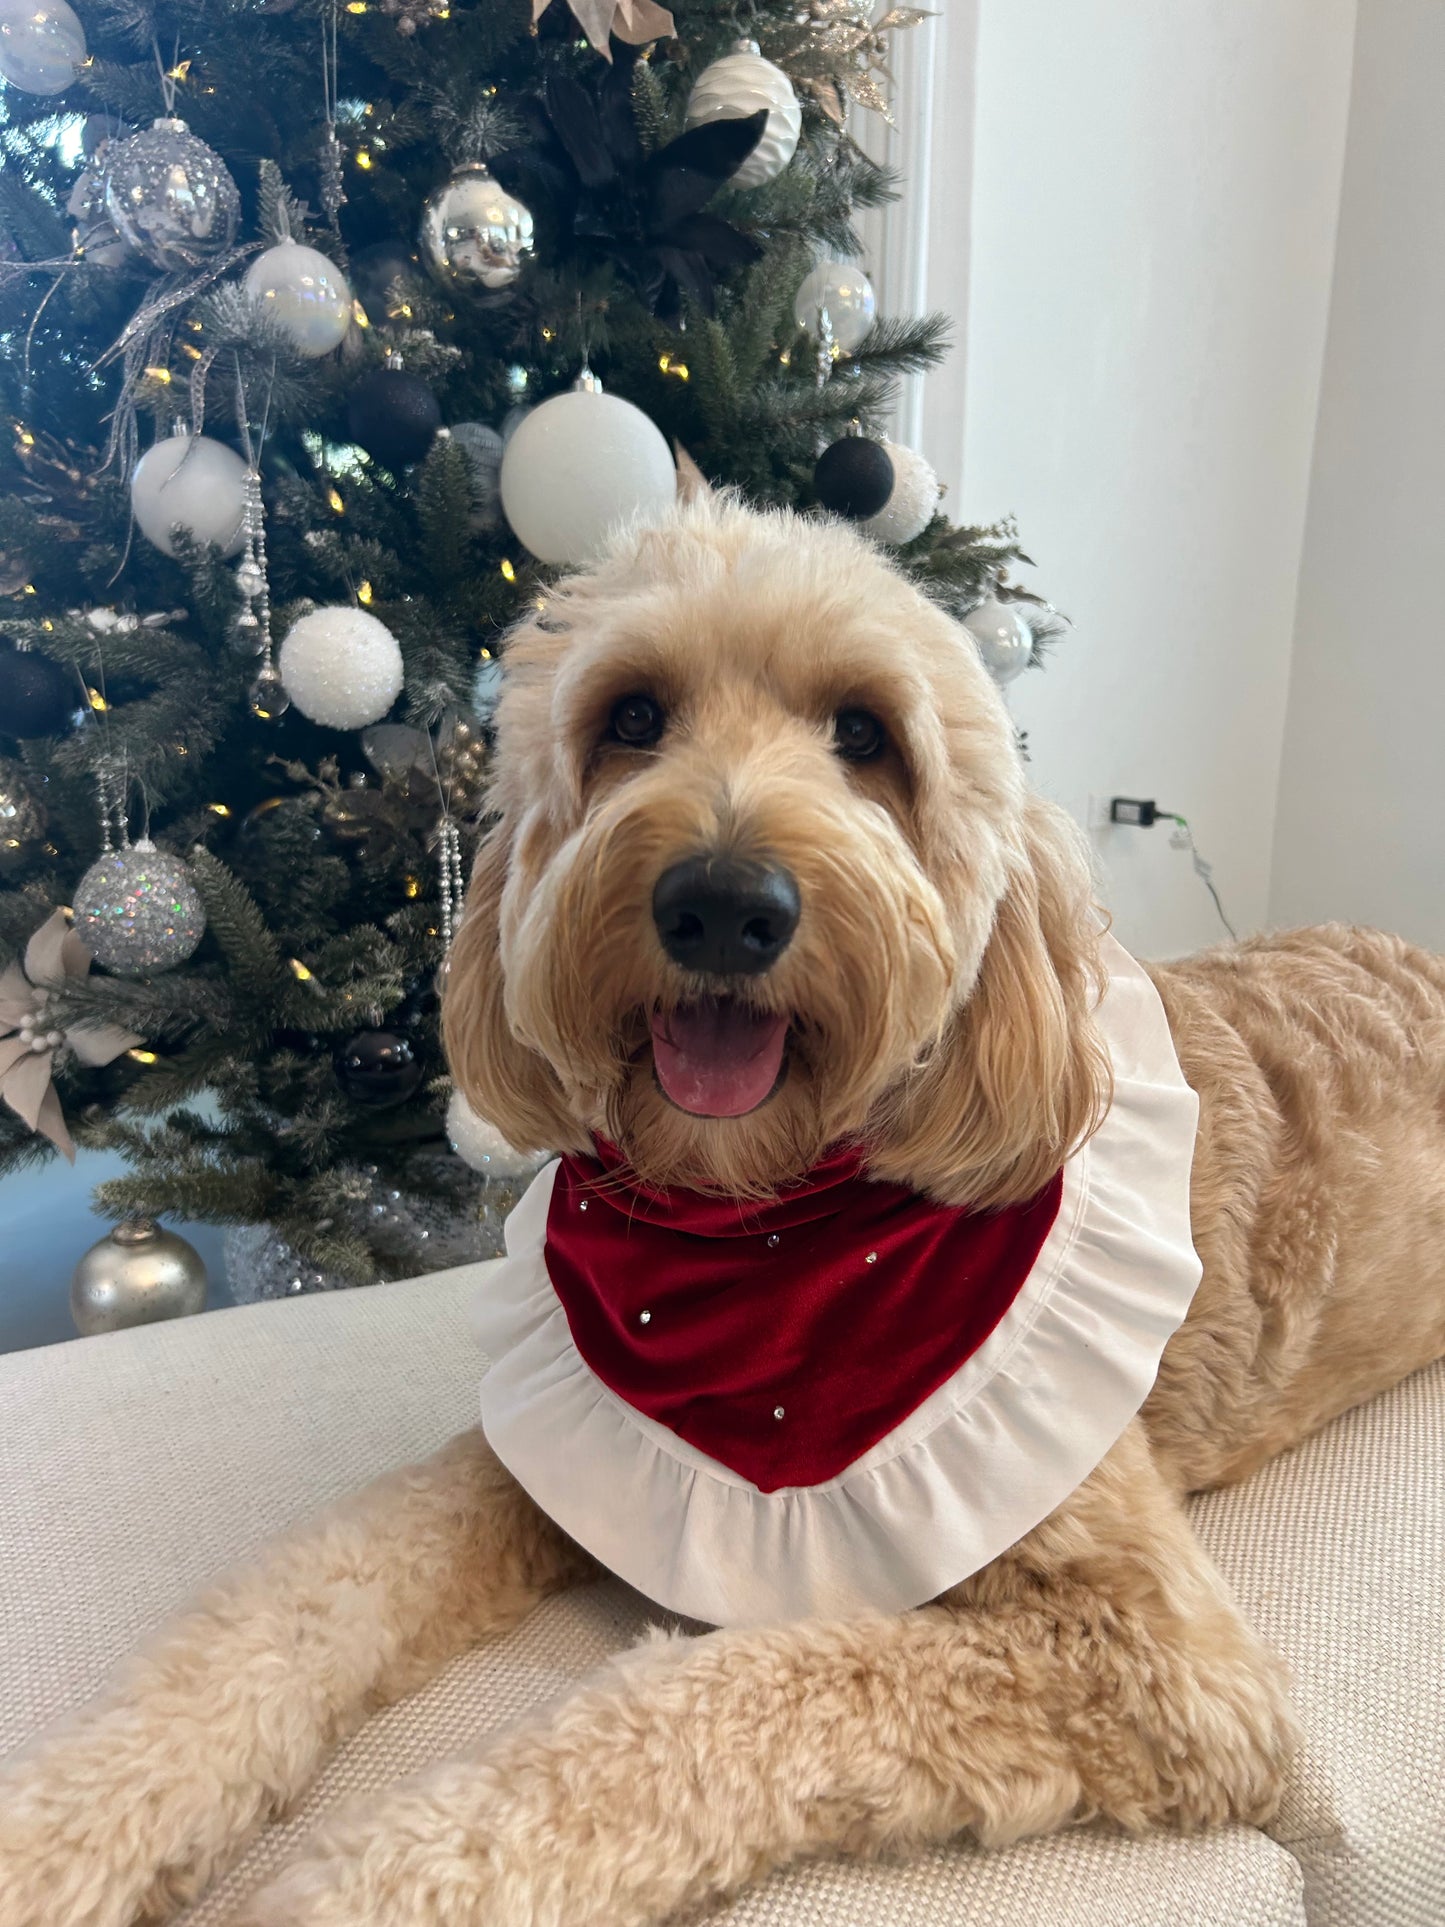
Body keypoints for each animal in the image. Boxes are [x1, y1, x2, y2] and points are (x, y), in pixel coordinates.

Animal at [2, 497, 1445, 1927]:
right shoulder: (540, 1454)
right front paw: (65, 1826)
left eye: (865, 734)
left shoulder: (1159, 1671)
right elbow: (292, 1604)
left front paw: (374, 1882)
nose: (722, 904)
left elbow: (725, 1694)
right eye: (631, 716)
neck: (759, 1224)